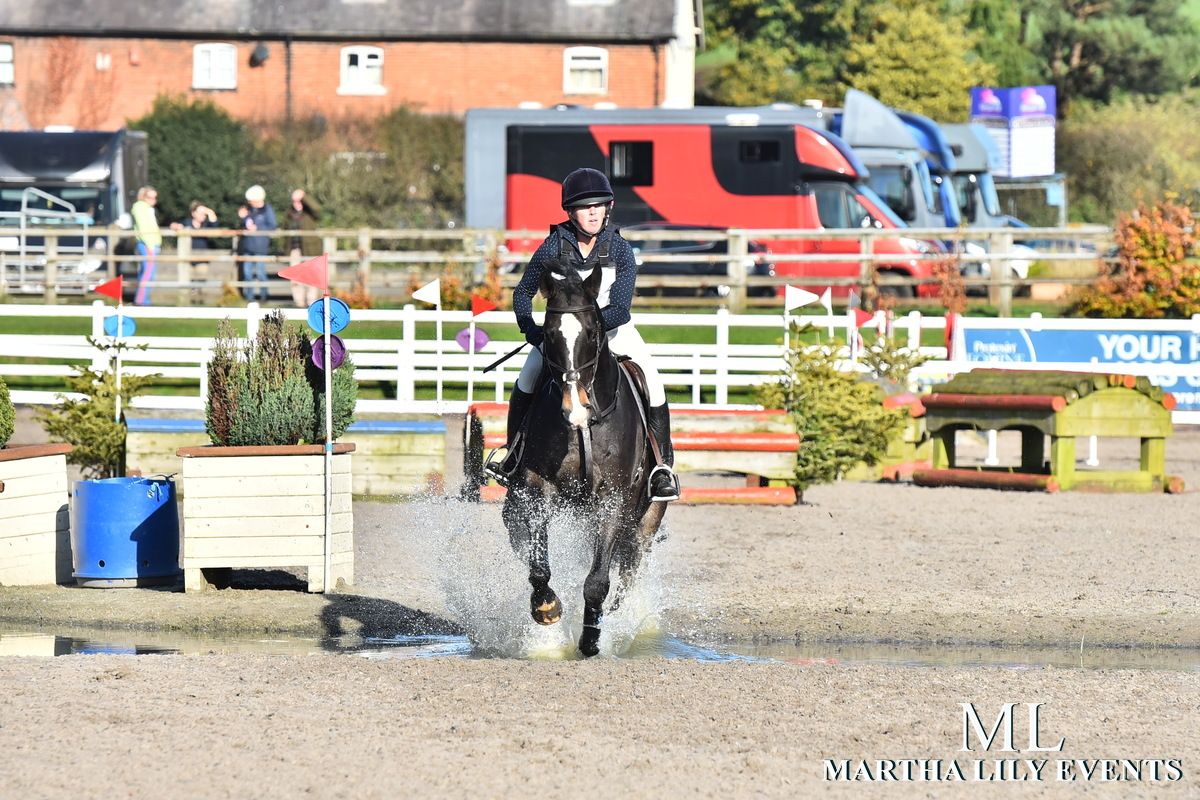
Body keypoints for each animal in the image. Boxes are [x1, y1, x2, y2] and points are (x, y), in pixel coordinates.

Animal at [501, 255, 672, 657]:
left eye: (593, 332)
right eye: (548, 334)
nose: (575, 410)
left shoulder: (612, 499)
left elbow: (597, 581)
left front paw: (591, 638)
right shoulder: (538, 487)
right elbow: (538, 563)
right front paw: (546, 607)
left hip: (645, 521)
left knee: (627, 572)